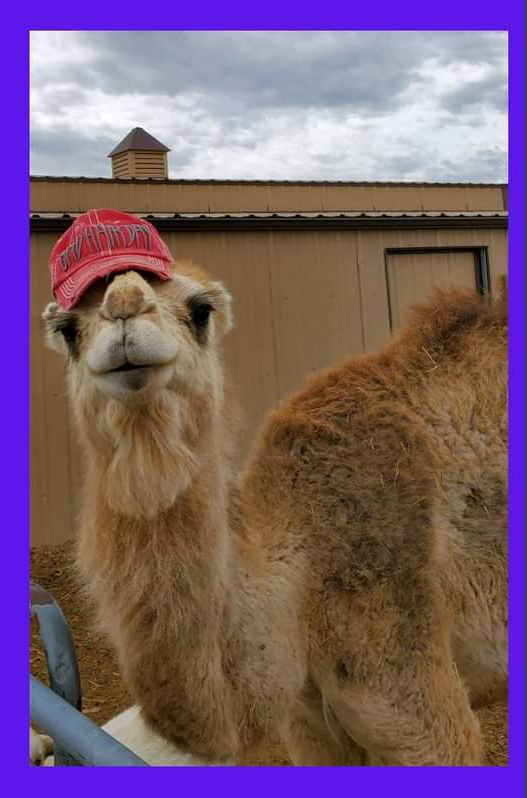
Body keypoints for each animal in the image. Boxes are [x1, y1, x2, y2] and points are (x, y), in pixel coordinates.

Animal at [41, 261, 508, 766]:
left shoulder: (412, 687)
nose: (125, 308)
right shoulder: (310, 723)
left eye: (200, 311)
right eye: (68, 329)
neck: (298, 581)